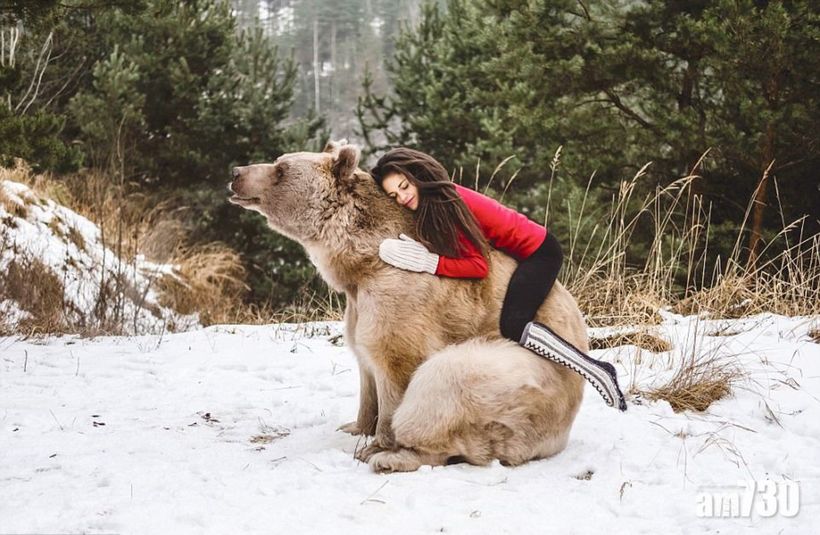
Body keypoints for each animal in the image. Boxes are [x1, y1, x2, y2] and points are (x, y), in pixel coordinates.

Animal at [231, 141, 588, 474]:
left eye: (281, 169)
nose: (236, 173)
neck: (362, 260)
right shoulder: (358, 303)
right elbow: (364, 361)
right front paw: (355, 426)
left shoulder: (400, 291)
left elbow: (396, 359)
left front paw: (375, 445)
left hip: (525, 378)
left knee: (447, 382)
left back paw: (394, 458)